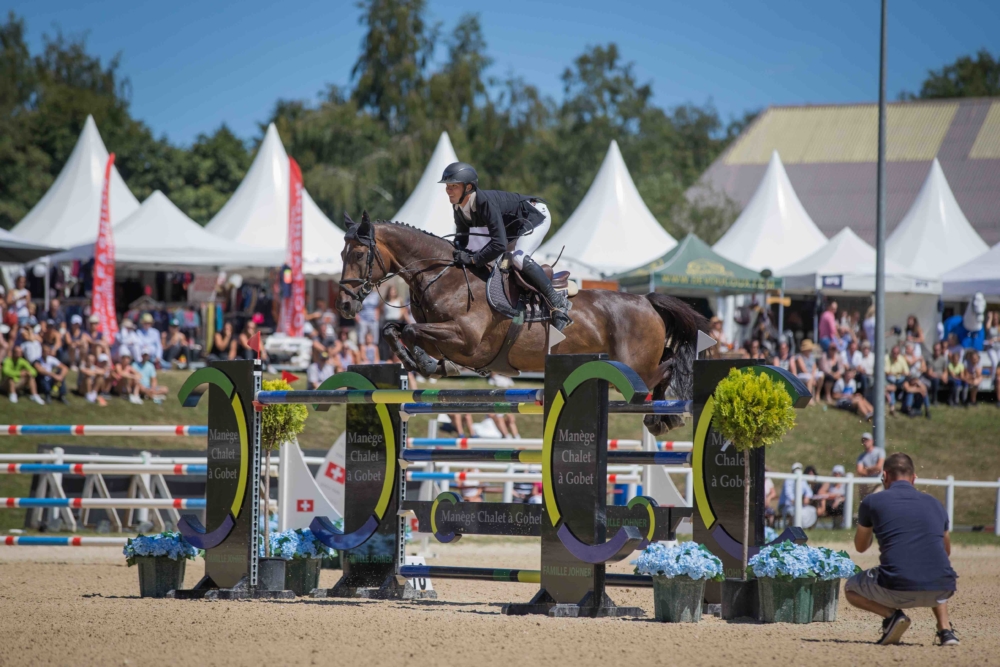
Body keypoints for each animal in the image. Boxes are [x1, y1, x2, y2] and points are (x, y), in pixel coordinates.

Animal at [336, 211, 712, 436]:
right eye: (341, 254)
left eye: (358, 254)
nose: (344, 305)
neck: (442, 276)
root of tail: (645, 300)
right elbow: (393, 330)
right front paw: (422, 363)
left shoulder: (467, 341)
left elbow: (414, 331)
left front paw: (429, 364)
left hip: (635, 368)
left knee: (665, 369)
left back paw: (666, 413)